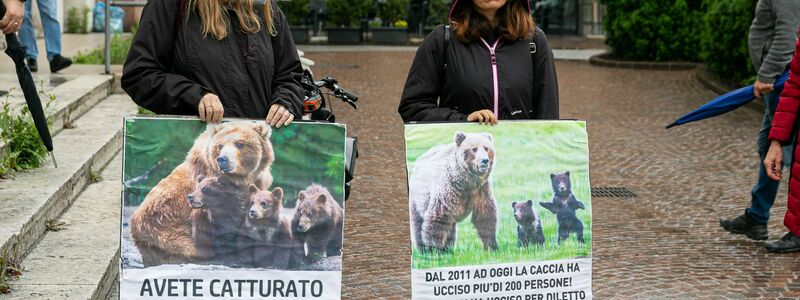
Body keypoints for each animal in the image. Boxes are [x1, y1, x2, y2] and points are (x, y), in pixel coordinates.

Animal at [130, 120, 276, 266]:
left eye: (239, 143)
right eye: (220, 145)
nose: (222, 159)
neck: (239, 180)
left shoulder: (257, 183)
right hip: (164, 228)